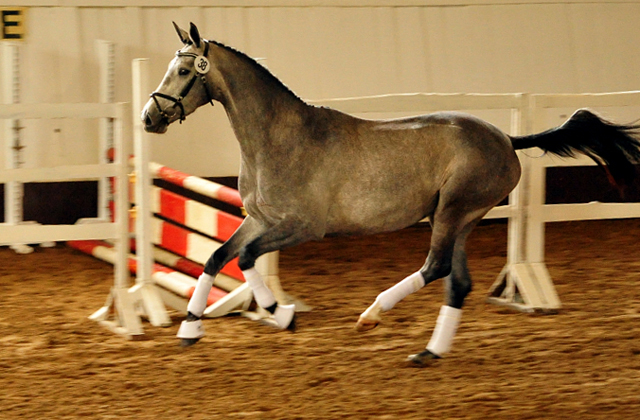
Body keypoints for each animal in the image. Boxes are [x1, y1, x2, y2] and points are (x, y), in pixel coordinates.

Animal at [141, 22, 640, 364]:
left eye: (183, 70)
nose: (149, 117)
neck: (279, 138)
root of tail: (504, 138)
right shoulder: (259, 220)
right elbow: (216, 257)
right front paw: (189, 331)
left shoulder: (301, 228)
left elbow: (244, 260)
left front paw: (282, 314)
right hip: (461, 218)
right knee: (457, 281)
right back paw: (429, 352)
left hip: (453, 212)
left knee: (437, 267)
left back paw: (373, 314)